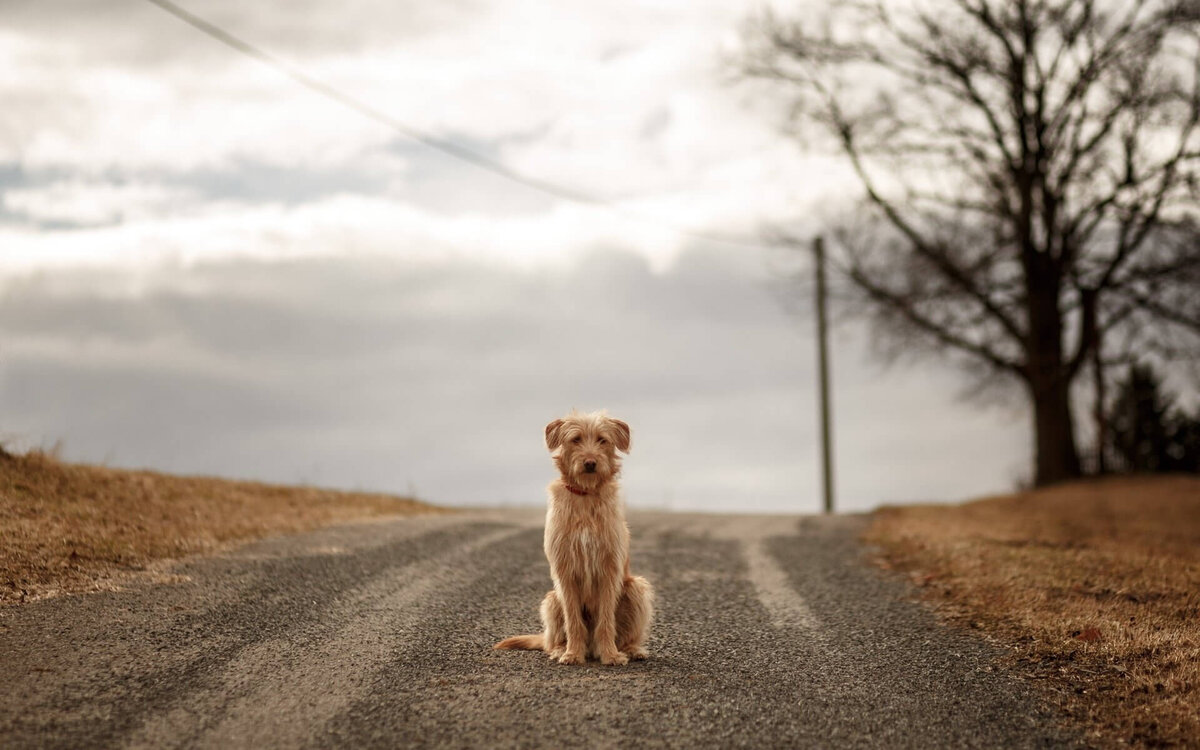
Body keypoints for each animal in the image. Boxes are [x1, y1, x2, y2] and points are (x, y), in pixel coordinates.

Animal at [492, 412, 652, 662]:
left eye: (602, 439)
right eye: (576, 439)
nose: (590, 463)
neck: (585, 495)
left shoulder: (610, 569)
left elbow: (606, 619)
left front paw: (610, 655)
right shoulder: (565, 569)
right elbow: (573, 619)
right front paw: (573, 653)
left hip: (637, 588)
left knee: (627, 635)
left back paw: (631, 649)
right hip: (551, 600)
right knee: (551, 640)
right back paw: (561, 648)